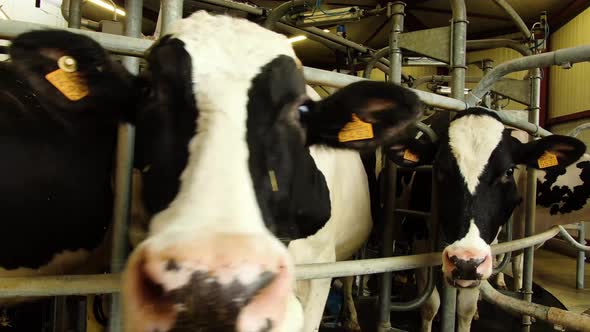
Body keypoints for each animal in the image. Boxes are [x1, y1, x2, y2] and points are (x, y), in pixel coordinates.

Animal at [390, 107, 588, 330]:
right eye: (439, 169)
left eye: (509, 170)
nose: (466, 261)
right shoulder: (420, 239)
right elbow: (430, 305)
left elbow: (466, 308)